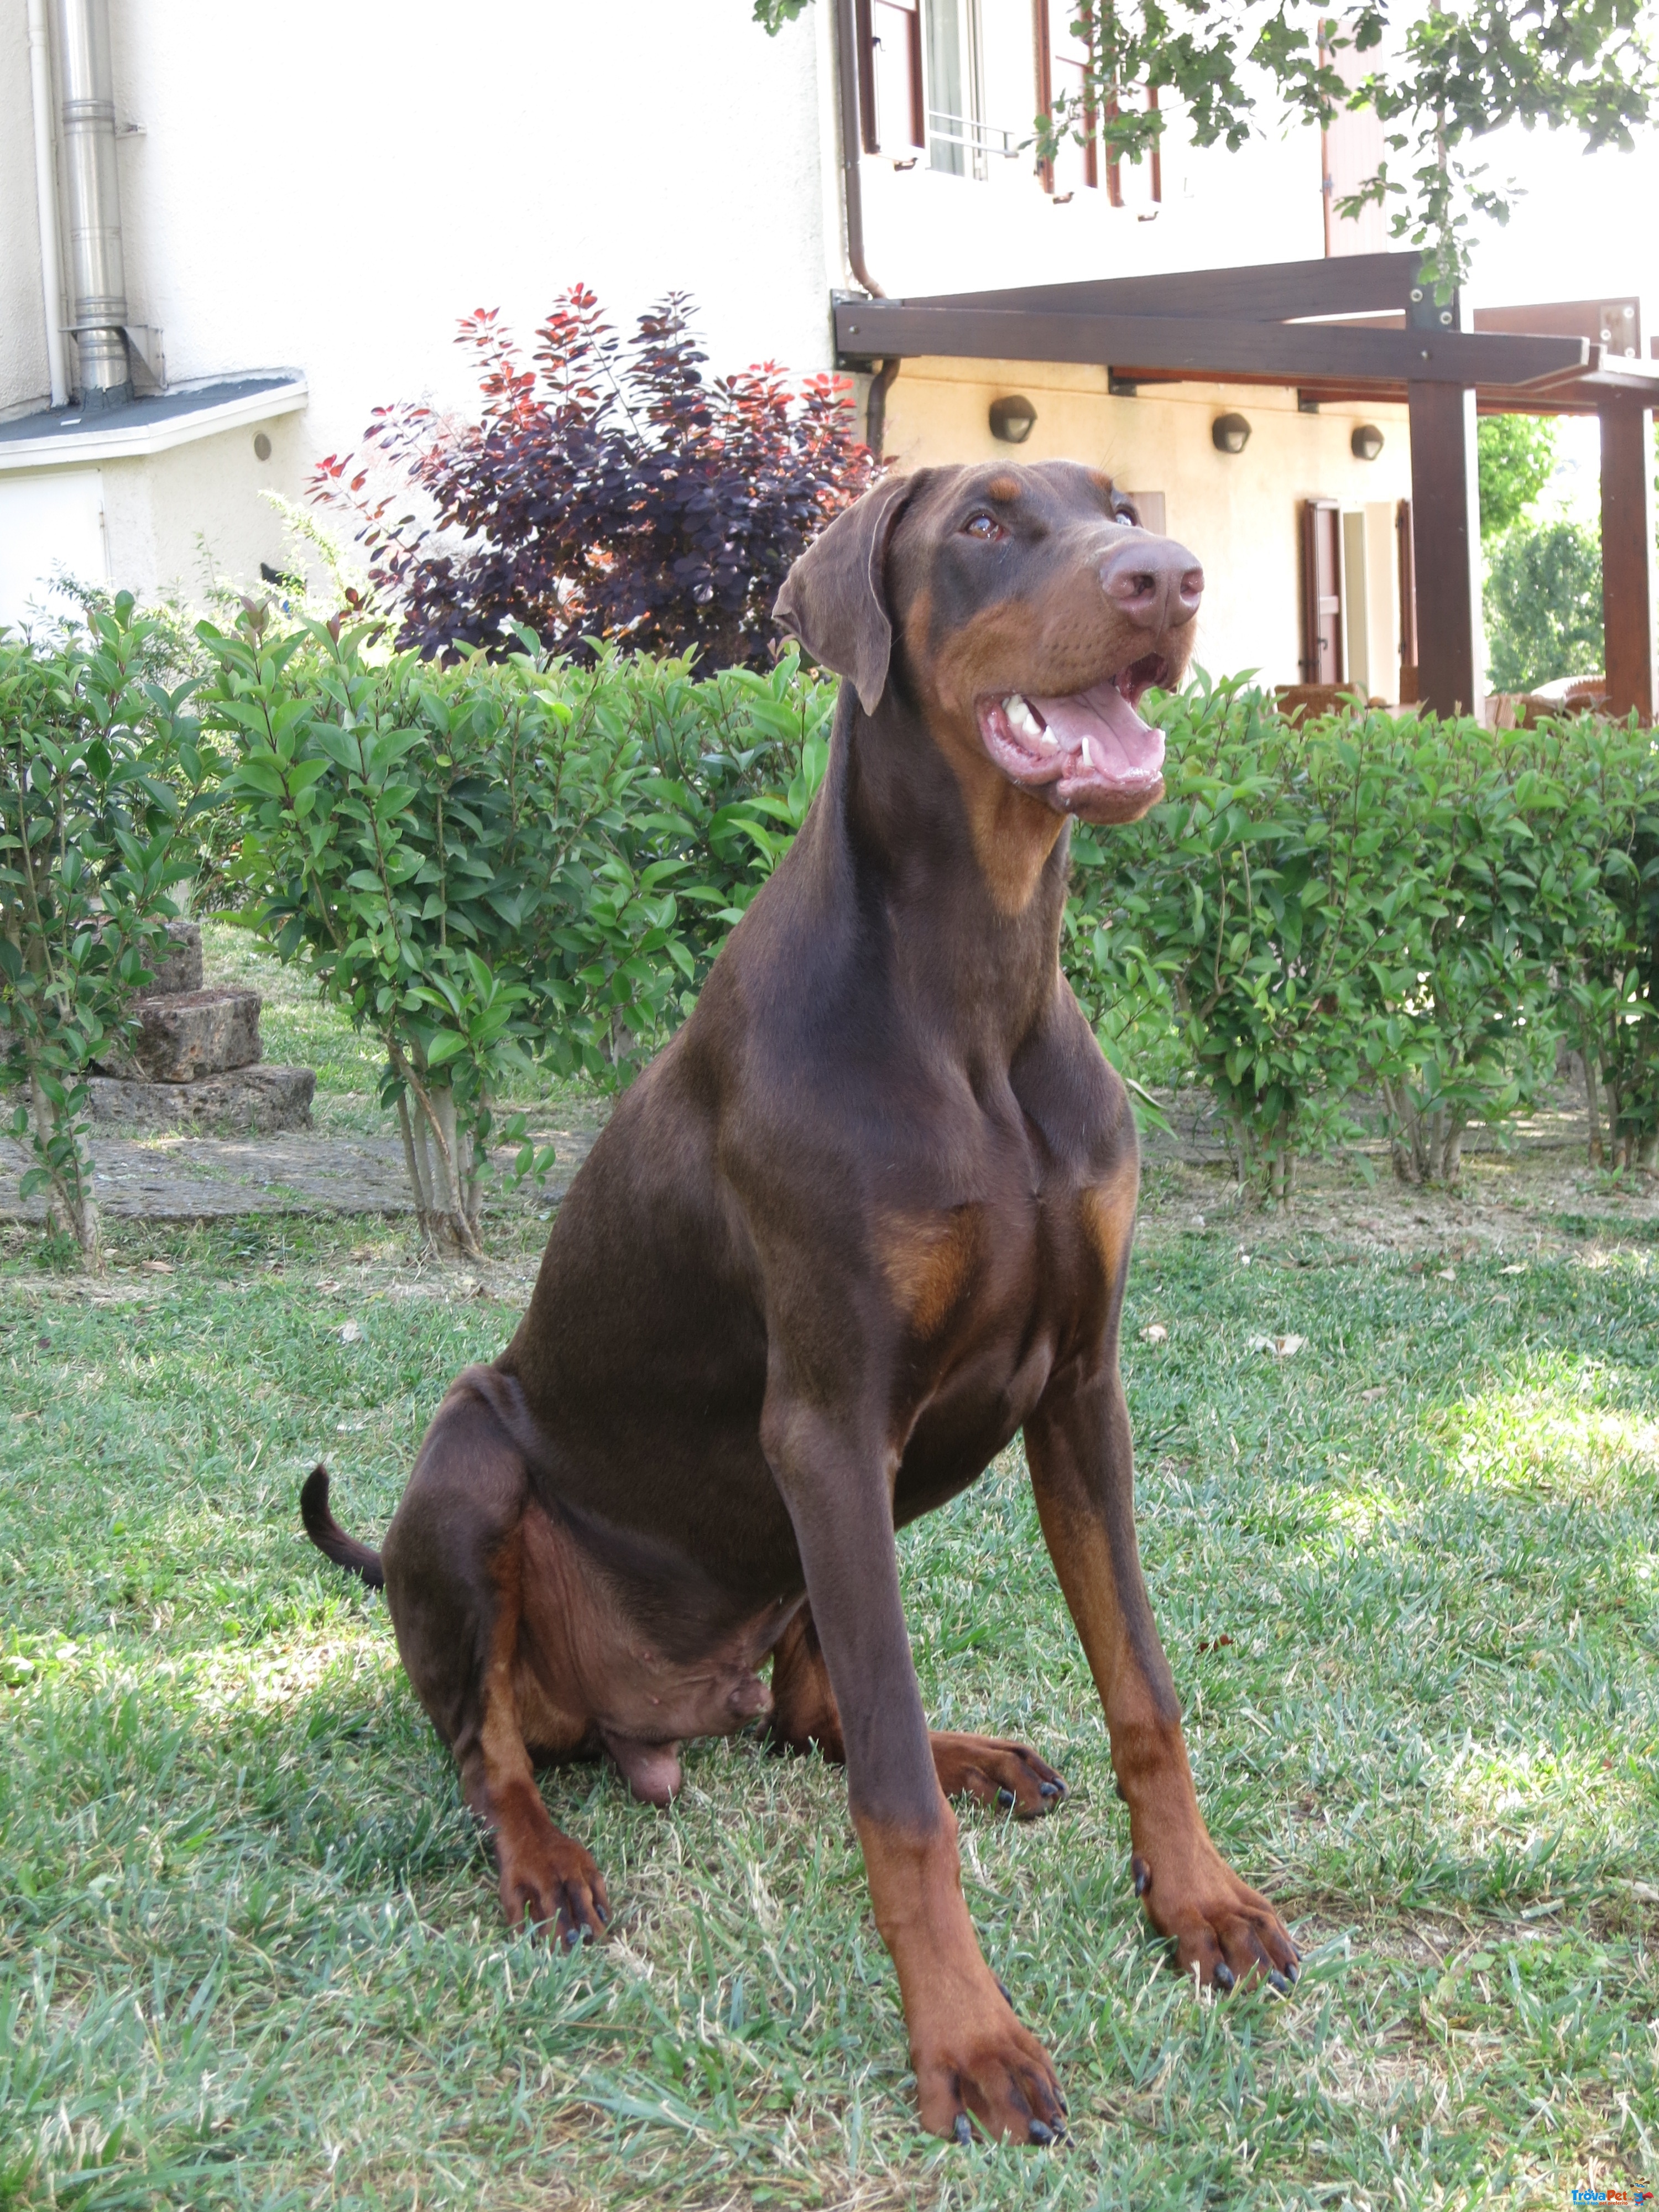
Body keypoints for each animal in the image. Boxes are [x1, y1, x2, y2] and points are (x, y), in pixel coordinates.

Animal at [305, 462, 1310, 2141]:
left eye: (1122, 505)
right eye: (984, 522)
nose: (1169, 578)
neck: (978, 989)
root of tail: (651, 1720)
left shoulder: (1081, 1393)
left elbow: (1142, 1689)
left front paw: (1198, 1905)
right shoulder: (827, 1420)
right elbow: (889, 1800)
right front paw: (968, 2041)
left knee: (808, 1716)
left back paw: (979, 1753)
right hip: (474, 1461)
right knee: (487, 1748)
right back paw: (547, 1865)